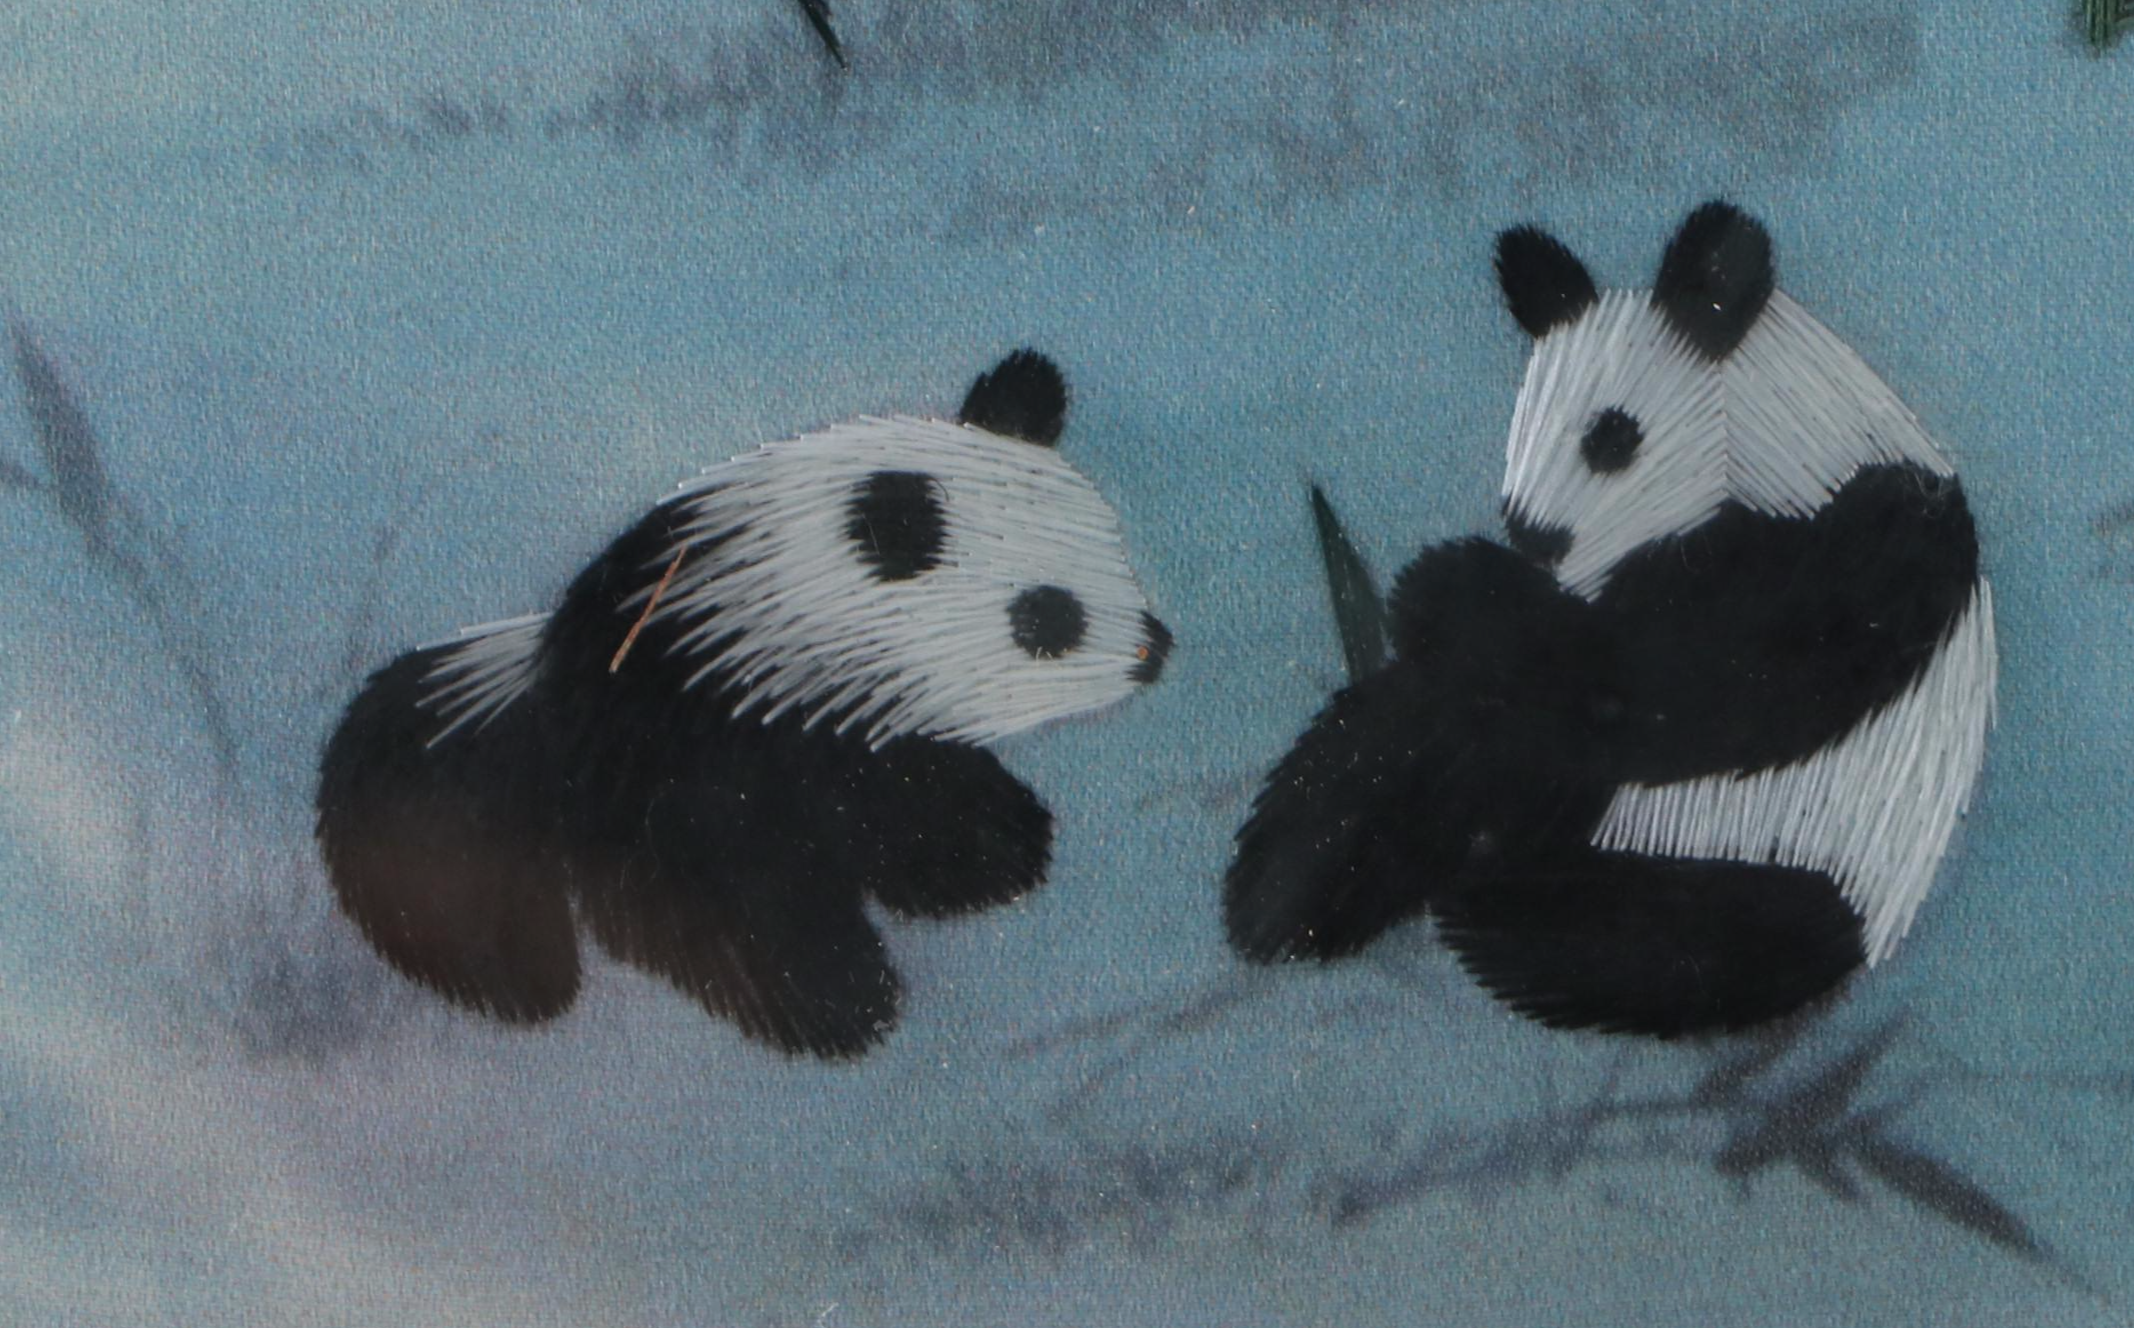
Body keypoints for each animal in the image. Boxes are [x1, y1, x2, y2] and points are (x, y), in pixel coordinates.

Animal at [317, 350, 1171, 1059]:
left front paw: (995, 850)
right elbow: (739, 905)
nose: (1154, 653)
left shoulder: (850, 736)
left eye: (1113, 548)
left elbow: (913, 799)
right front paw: (839, 1009)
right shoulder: (689, 755)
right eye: (1046, 617)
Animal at [1224, 202, 1995, 1037]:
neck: (1799, 435)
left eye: (1610, 437)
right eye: (1522, 427)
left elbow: (1687, 685)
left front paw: (1444, 584)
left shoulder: (1869, 546)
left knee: (1649, 939)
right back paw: (1285, 892)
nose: (1533, 537)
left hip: (1775, 871)